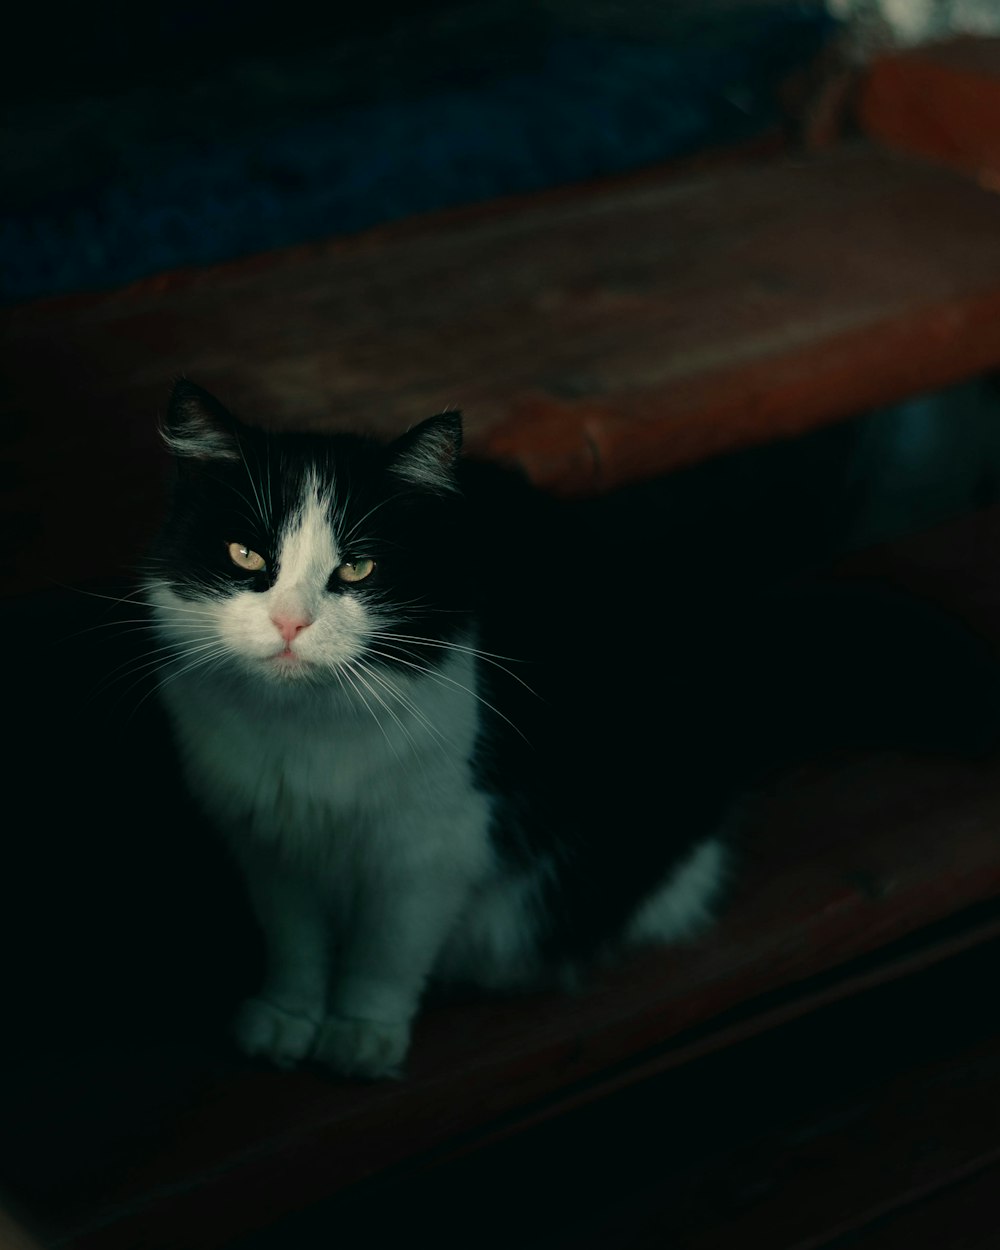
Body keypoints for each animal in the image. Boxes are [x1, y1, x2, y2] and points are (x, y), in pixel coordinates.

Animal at [146, 375, 1000, 1080]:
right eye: (244, 554)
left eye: (357, 569)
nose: (290, 623)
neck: (306, 732)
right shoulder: (264, 838)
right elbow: (293, 941)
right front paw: (286, 1019)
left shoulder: (433, 844)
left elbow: (386, 952)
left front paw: (361, 1037)